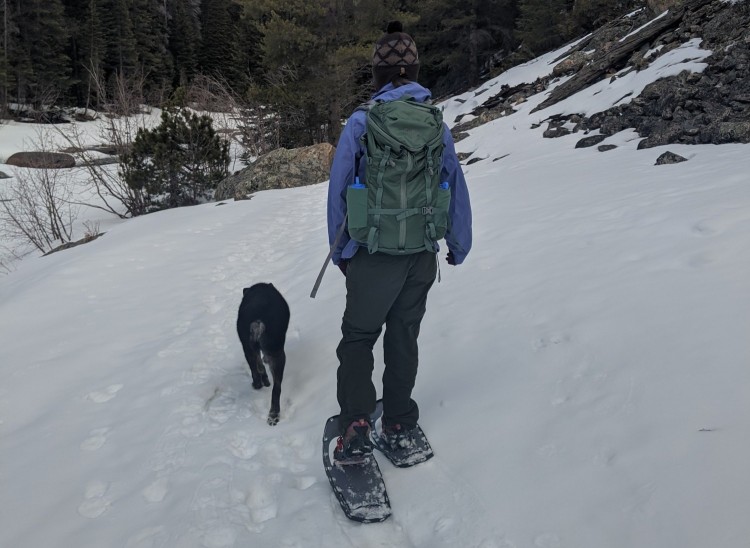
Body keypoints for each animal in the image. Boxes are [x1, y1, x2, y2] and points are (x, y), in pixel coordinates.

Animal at [238, 284, 290, 426]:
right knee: (276, 388)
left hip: (248, 348)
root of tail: (258, 322)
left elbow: (258, 364)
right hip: (277, 353)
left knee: (256, 371)